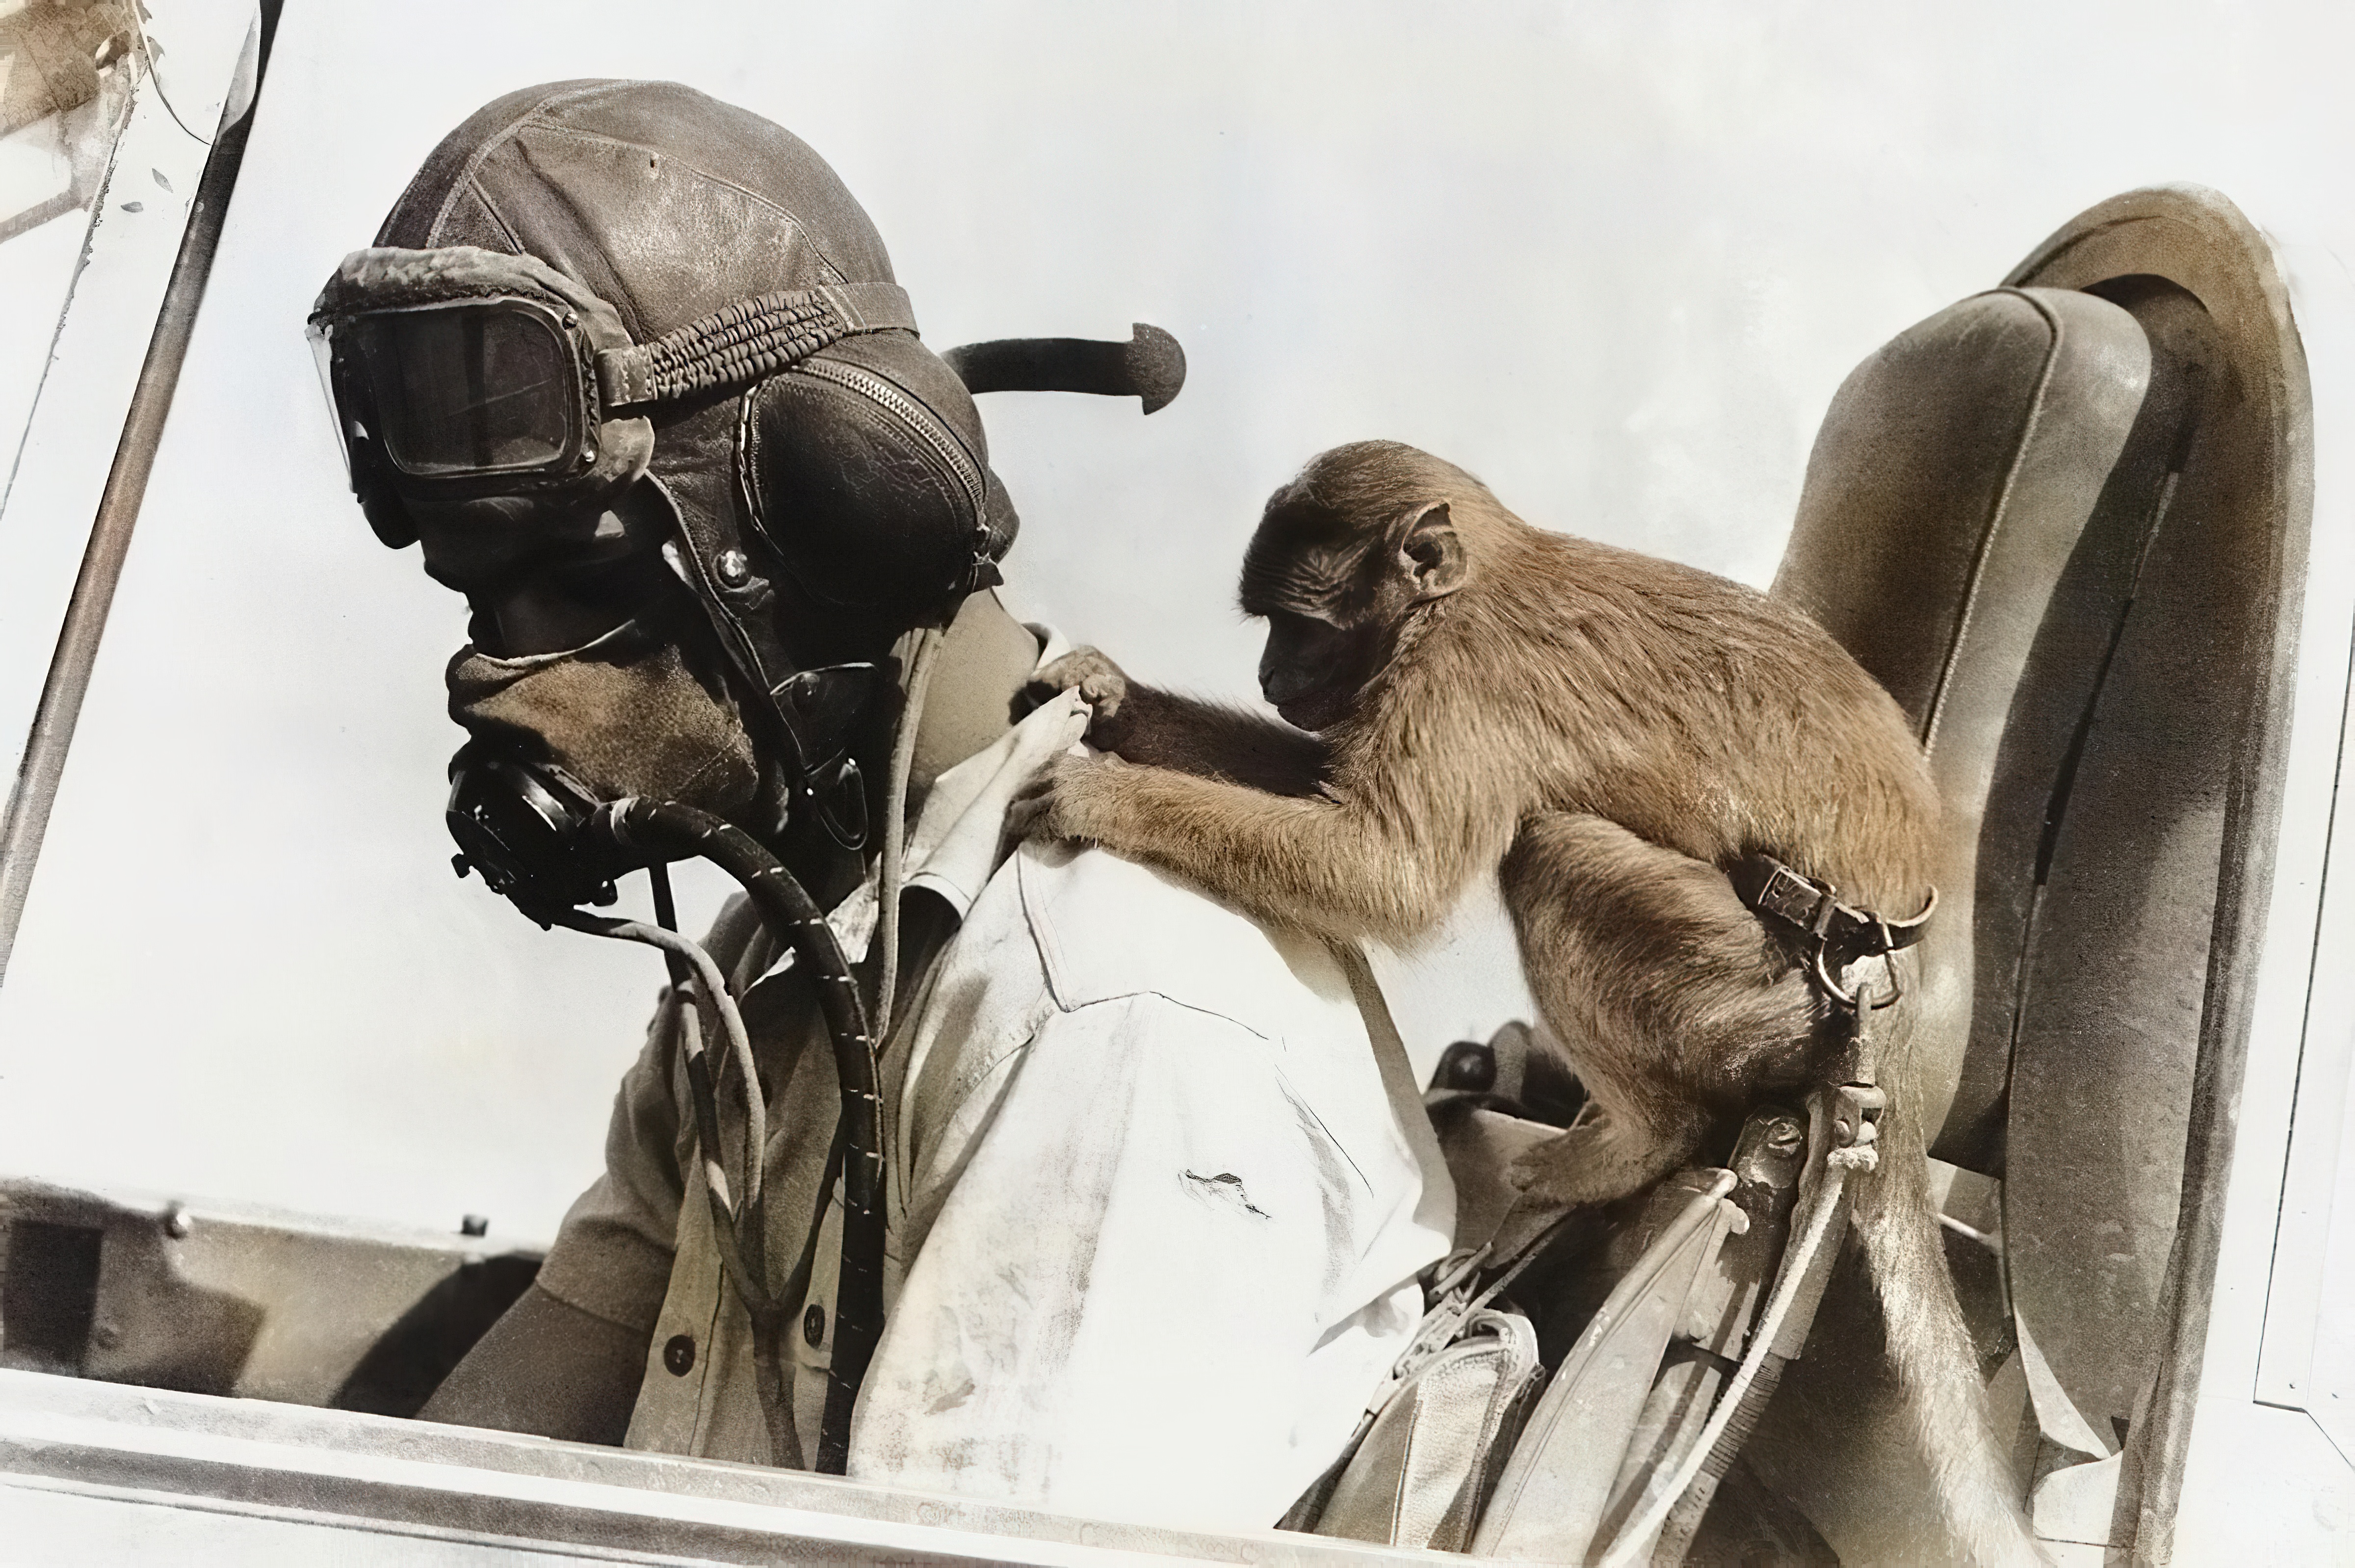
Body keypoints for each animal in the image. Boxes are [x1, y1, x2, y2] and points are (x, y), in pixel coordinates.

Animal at [1022, 435, 2053, 1563]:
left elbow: (1386, 870)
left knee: (1553, 850)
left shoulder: (1464, 678)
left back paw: (1641, 1141)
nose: (1268, 673)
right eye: (1273, 633)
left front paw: (1100, 794)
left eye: (1300, 626)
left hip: (1759, 993)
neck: (1472, 582)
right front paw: (1111, 696)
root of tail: (1888, 1026)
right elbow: (1325, 788)